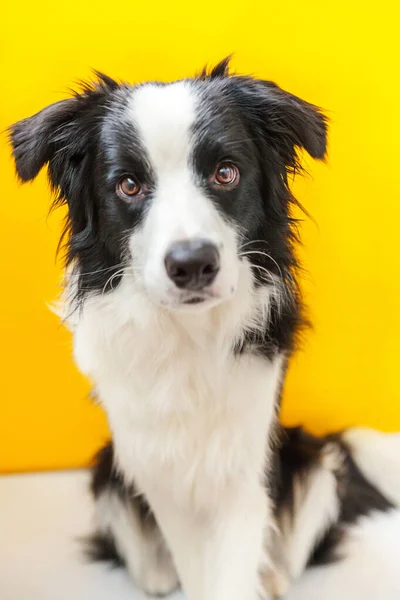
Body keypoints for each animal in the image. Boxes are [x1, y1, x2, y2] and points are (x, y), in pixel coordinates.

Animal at [9, 61, 400, 600]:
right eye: (128, 185)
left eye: (225, 173)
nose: (192, 263)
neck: (188, 333)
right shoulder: (160, 469)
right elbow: (194, 564)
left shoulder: (245, 463)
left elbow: (234, 566)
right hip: (110, 472)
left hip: (310, 459)